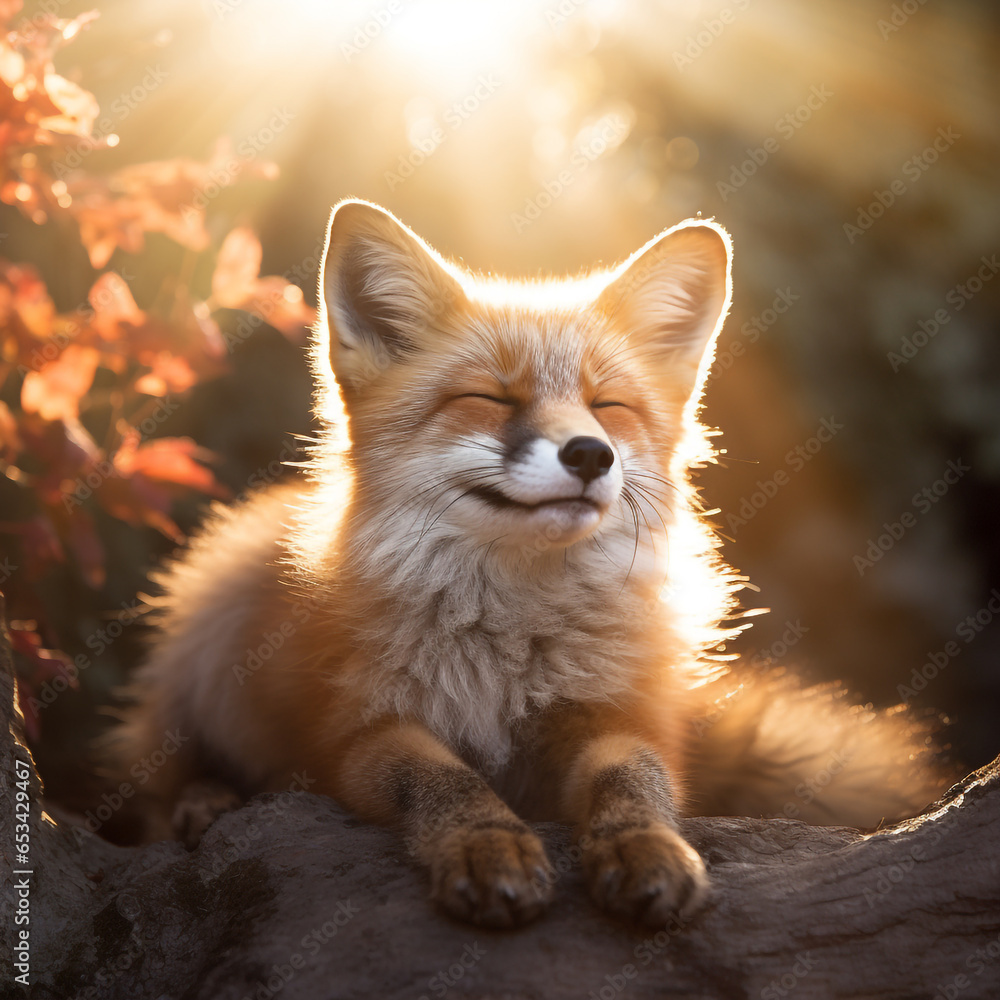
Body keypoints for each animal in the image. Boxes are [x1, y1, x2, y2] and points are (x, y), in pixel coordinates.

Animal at [112, 199, 948, 928]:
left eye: (609, 408)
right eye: (491, 399)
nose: (590, 455)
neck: (508, 643)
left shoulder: (619, 715)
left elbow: (635, 782)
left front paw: (645, 847)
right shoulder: (355, 734)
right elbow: (445, 779)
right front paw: (488, 846)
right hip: (209, 624)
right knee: (156, 781)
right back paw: (205, 802)